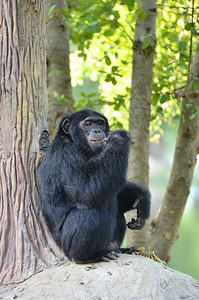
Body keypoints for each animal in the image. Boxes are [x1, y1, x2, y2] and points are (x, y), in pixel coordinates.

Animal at [37, 109, 150, 262]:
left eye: (100, 123)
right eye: (88, 123)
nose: (97, 130)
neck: (75, 144)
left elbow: (112, 184)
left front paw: (141, 200)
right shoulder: (65, 156)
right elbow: (89, 191)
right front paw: (118, 140)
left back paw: (122, 249)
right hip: (69, 247)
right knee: (96, 208)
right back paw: (93, 255)